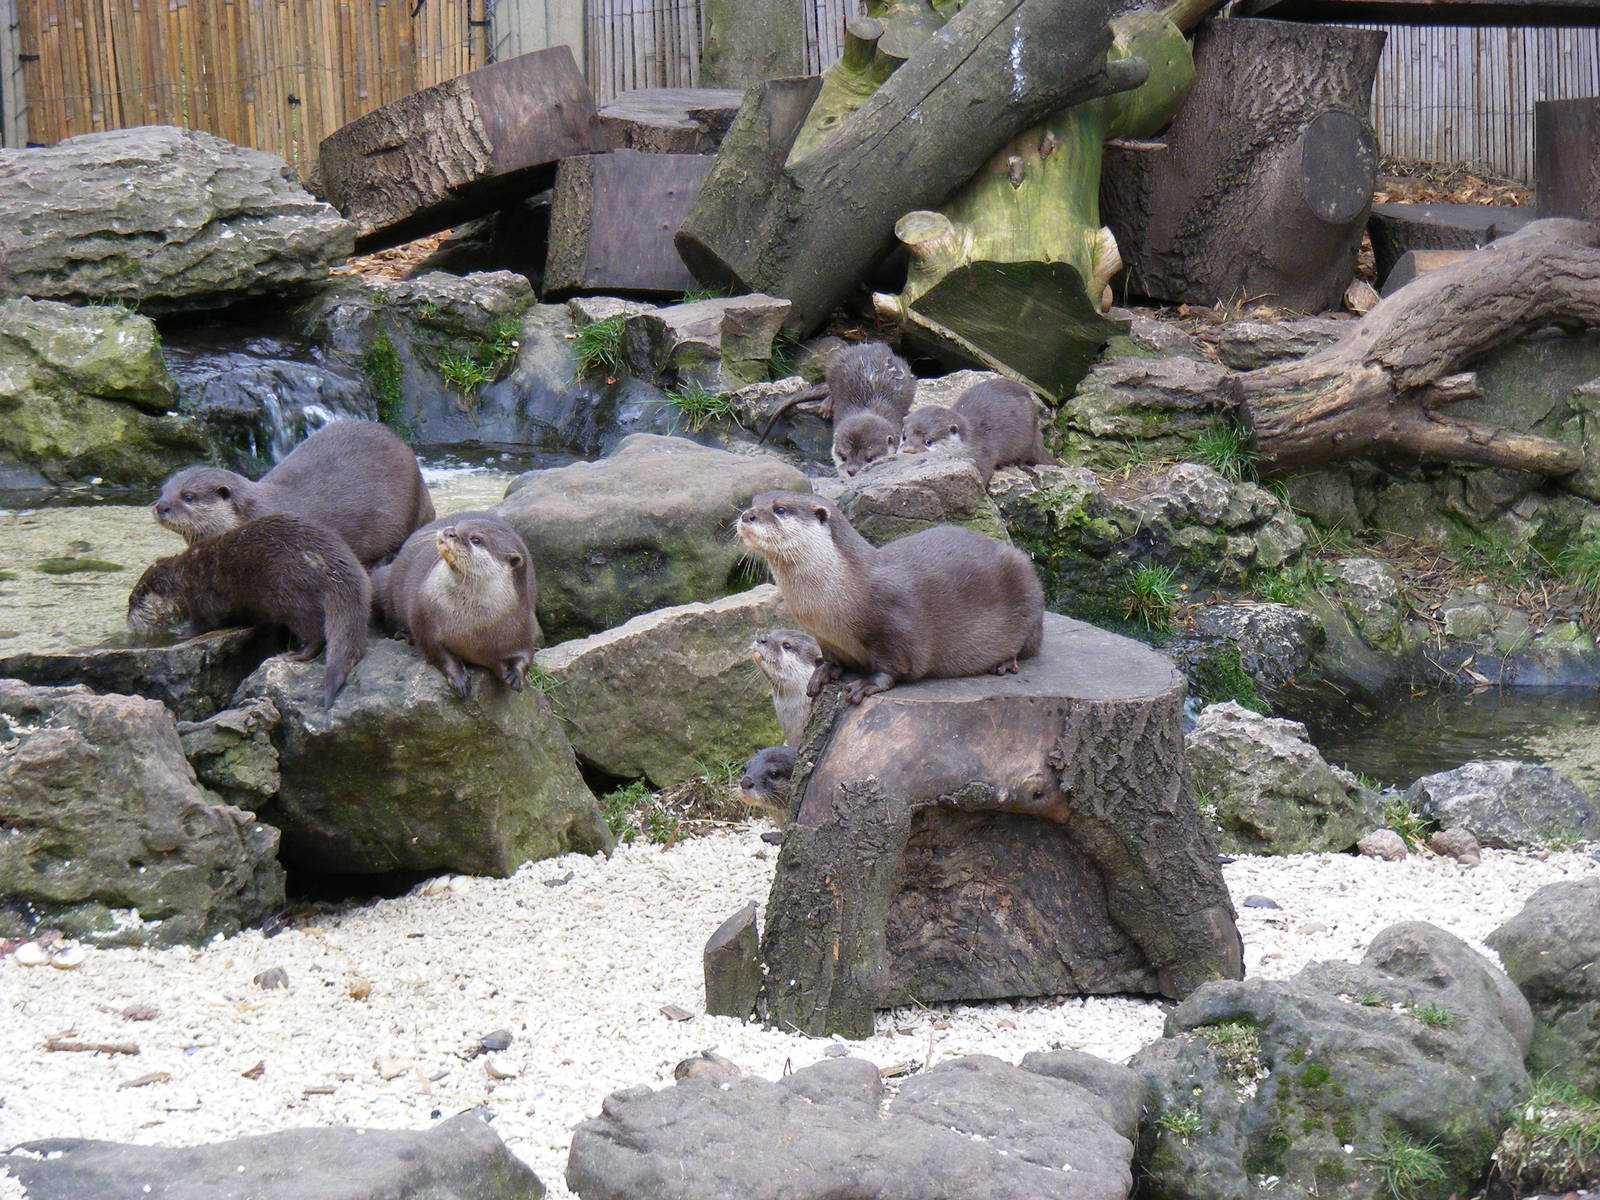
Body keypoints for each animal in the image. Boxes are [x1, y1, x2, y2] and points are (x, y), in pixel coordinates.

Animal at [127, 515, 370, 707]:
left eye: (134, 600)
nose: (128, 624)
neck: (184, 578)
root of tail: (335, 569)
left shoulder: (202, 597)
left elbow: (205, 622)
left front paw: (182, 633)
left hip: (291, 594)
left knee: (315, 633)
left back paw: (295, 654)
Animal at [373, 511, 539, 698]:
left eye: (476, 540)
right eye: (459, 525)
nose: (449, 531)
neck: (474, 625)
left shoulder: (526, 622)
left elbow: (527, 654)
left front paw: (515, 676)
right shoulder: (424, 618)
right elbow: (437, 651)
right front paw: (459, 679)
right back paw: (403, 634)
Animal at [737, 491, 1044, 703]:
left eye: (780, 509)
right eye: (753, 501)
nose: (746, 515)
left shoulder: (894, 626)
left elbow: (896, 664)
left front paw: (866, 684)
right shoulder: (825, 637)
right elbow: (831, 659)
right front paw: (823, 672)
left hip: (1025, 582)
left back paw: (1004, 662)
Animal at [900, 378, 1052, 484]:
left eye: (928, 441)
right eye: (904, 437)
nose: (908, 450)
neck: (971, 442)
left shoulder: (983, 454)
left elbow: (985, 473)